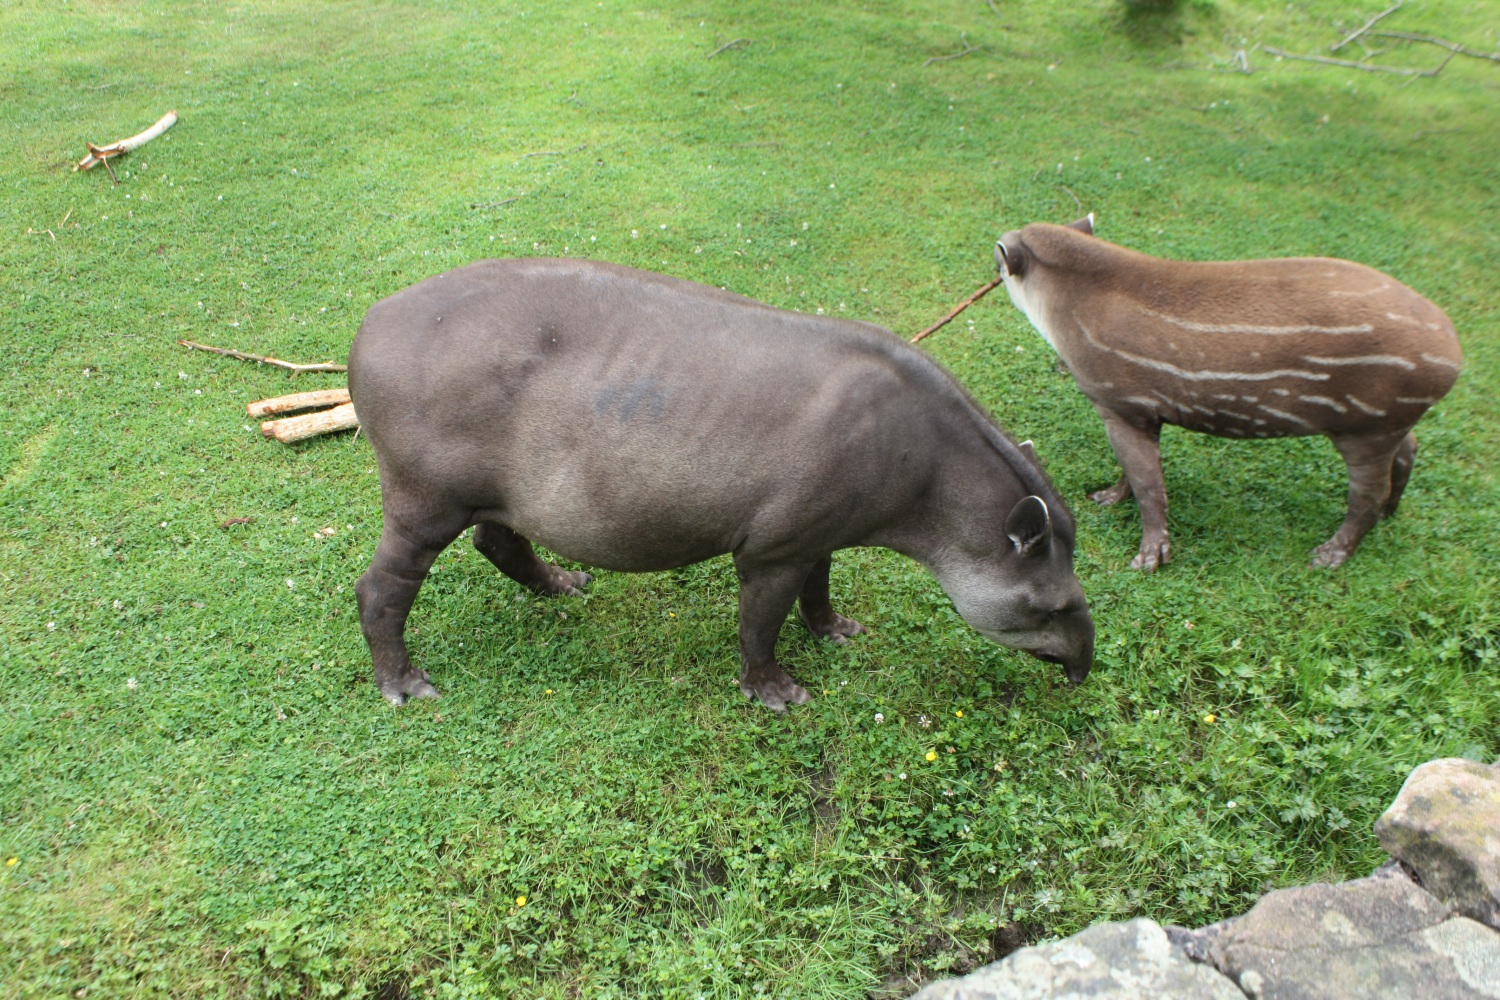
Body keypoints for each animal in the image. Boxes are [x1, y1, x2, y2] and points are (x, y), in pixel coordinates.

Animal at [347, 258, 1093, 710]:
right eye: (1050, 604)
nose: (1086, 668)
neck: (937, 489)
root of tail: (367, 327)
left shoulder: (820, 529)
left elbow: (820, 587)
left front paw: (839, 631)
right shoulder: (772, 546)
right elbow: (760, 623)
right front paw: (780, 695)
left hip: (493, 492)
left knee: (500, 542)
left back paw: (566, 584)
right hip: (425, 496)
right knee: (381, 588)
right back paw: (406, 686)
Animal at [993, 215, 1462, 570]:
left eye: (1001, 257)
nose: (993, 253)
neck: (1070, 299)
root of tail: (1455, 354)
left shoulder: (1118, 402)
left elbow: (1148, 483)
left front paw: (1149, 558)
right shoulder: (1144, 411)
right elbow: (1138, 471)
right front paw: (1108, 497)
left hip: (1367, 423)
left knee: (1366, 494)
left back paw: (1330, 554)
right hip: (1388, 420)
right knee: (1408, 449)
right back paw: (1390, 513)